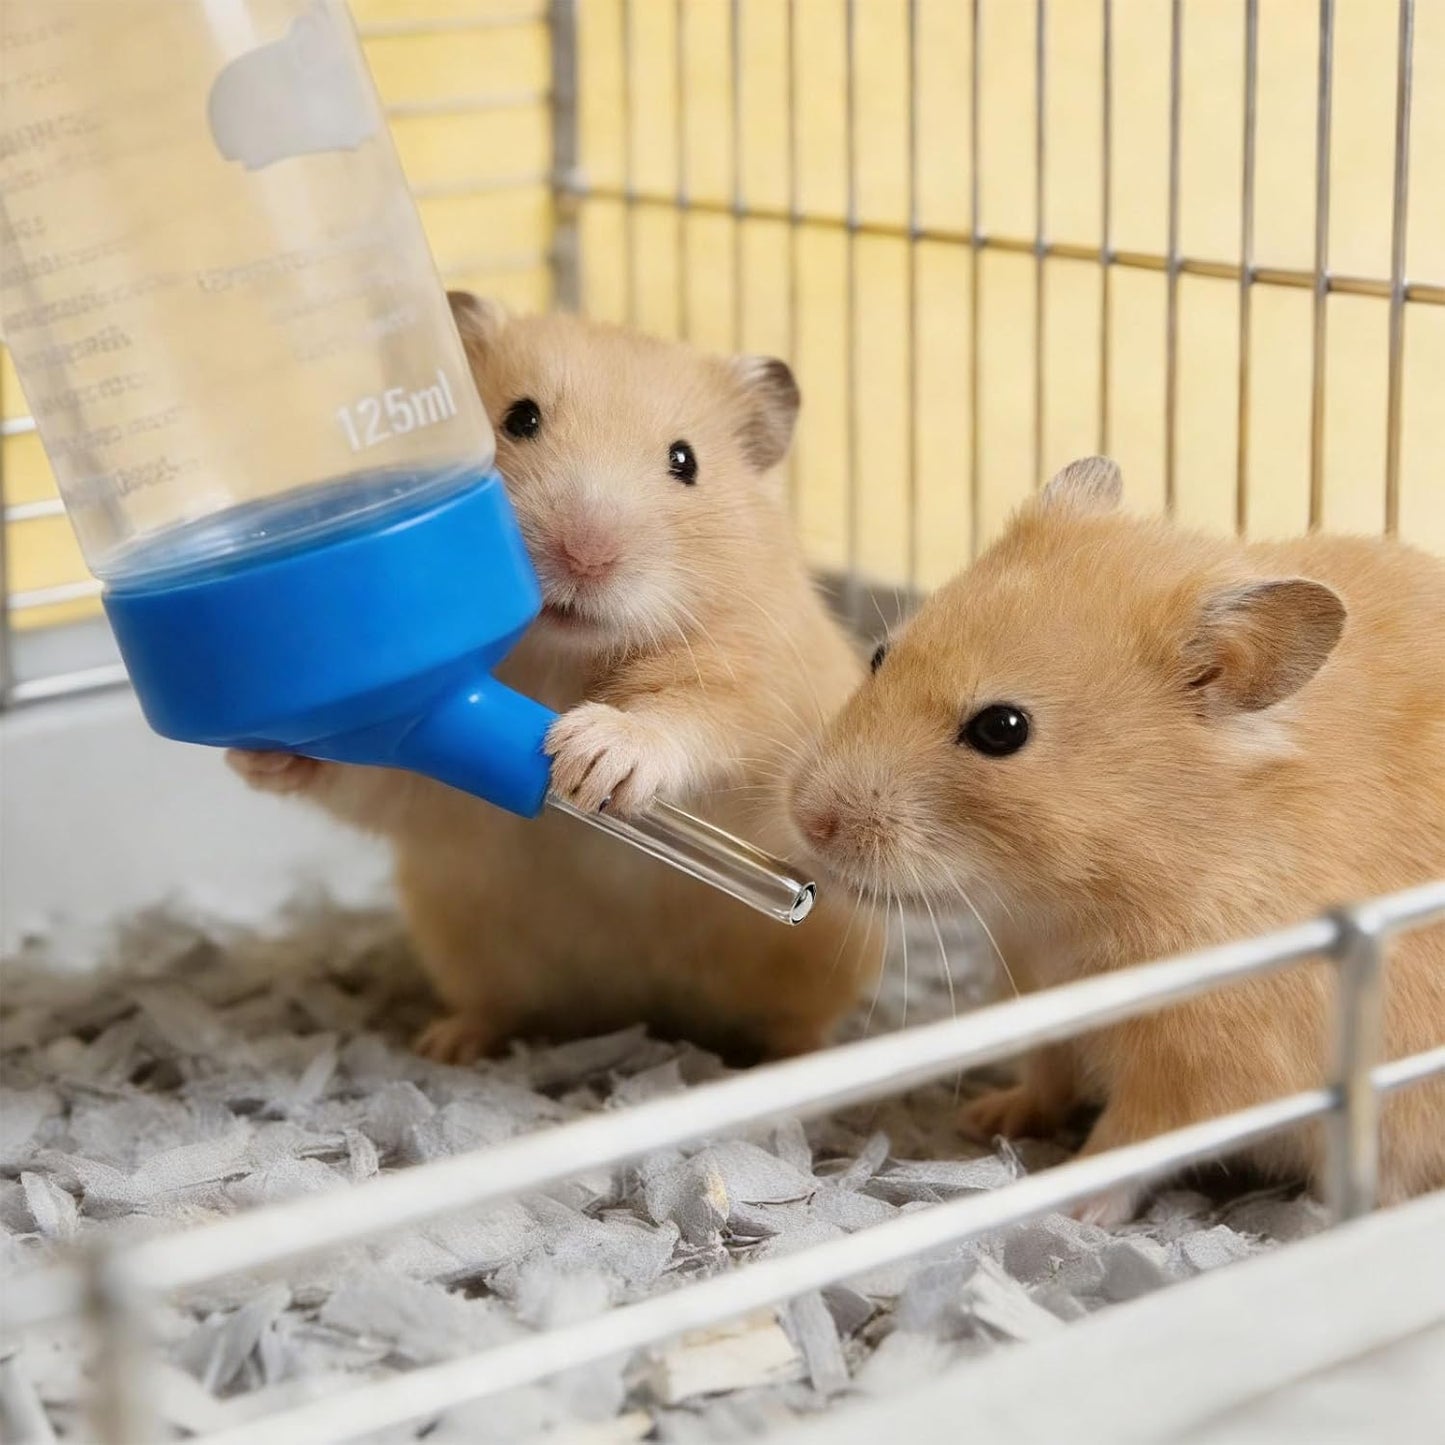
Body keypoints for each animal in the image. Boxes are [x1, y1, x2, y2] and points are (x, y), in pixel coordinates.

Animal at [230, 296, 882, 1064]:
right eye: (519, 418)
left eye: (684, 461)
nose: (585, 555)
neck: (561, 655)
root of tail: (636, 1012)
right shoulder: (433, 782)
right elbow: (368, 782)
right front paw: (261, 754)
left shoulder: (757, 677)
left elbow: (694, 716)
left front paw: (589, 759)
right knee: (499, 1007)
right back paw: (445, 1044)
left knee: (793, 1024)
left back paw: (803, 1059)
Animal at [789, 455, 1445, 1222]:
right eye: (879, 656)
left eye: (1001, 729)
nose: (809, 818)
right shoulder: (1036, 990)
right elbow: (1046, 1071)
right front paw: (986, 1117)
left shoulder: (1209, 1059)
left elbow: (1131, 1138)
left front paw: (1071, 1204)